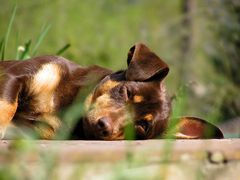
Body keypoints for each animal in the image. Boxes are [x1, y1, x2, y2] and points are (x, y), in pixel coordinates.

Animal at [0, 43, 223, 139]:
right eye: (126, 92)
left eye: (142, 127)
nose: (104, 127)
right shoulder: (14, 77)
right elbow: (7, 106)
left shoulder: (34, 131)